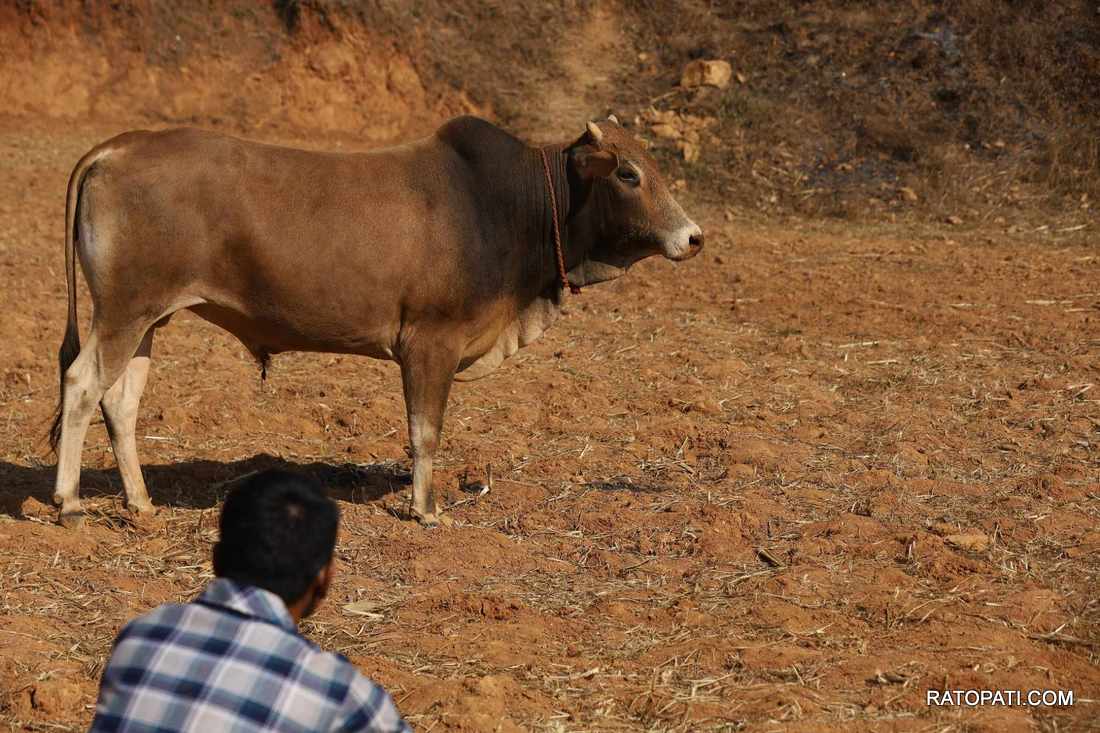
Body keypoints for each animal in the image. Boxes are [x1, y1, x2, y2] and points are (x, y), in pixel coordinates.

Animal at [47, 114, 699, 526]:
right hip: (125, 310)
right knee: (82, 384)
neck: (508, 208)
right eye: (628, 174)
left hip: (146, 319)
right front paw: (426, 510)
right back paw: (69, 502)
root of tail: (117, 147)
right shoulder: (431, 343)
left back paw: (140, 504)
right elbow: (425, 432)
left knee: (119, 402)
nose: (694, 237)